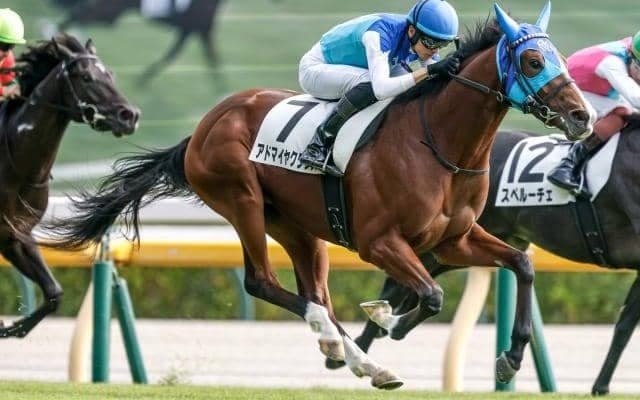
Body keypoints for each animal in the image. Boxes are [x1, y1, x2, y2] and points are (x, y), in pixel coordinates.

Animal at [0, 33, 139, 338]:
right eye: (86, 77)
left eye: (110, 74)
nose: (130, 115)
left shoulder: (16, 236)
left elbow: (54, 293)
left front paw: (13, 327)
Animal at [51, 0, 223, 84]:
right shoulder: (197, 28)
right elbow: (211, 58)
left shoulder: (194, 30)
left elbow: (211, 59)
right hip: (110, 11)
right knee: (79, 15)